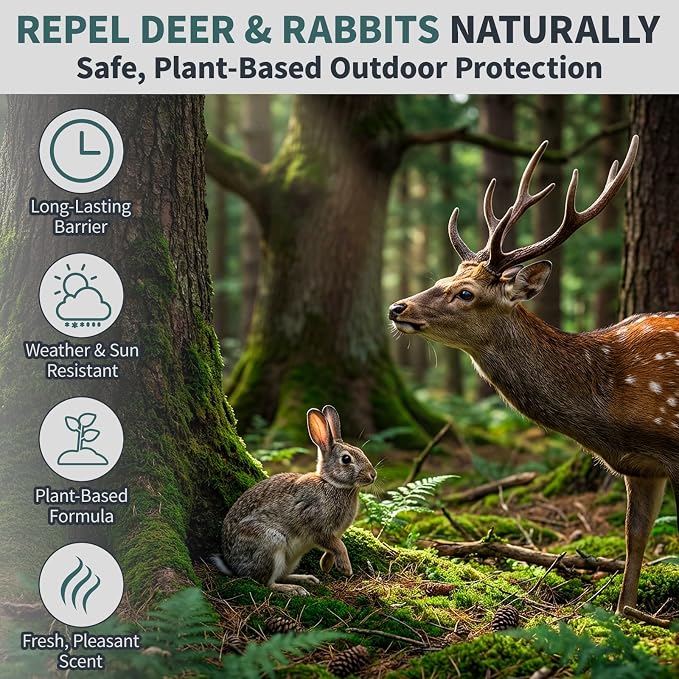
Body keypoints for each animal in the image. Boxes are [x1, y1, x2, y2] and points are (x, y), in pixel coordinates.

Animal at [211, 405, 376, 596]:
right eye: (346, 459)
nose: (373, 475)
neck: (331, 483)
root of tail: (233, 565)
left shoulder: (335, 532)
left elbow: (334, 546)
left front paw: (326, 565)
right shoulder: (317, 526)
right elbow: (337, 545)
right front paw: (346, 568)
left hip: (291, 558)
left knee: (281, 575)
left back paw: (307, 579)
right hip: (270, 543)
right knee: (266, 582)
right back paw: (295, 589)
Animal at [389, 134, 679, 622]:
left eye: (465, 293)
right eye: (443, 278)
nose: (397, 307)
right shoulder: (640, 466)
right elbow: (635, 538)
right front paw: (624, 613)